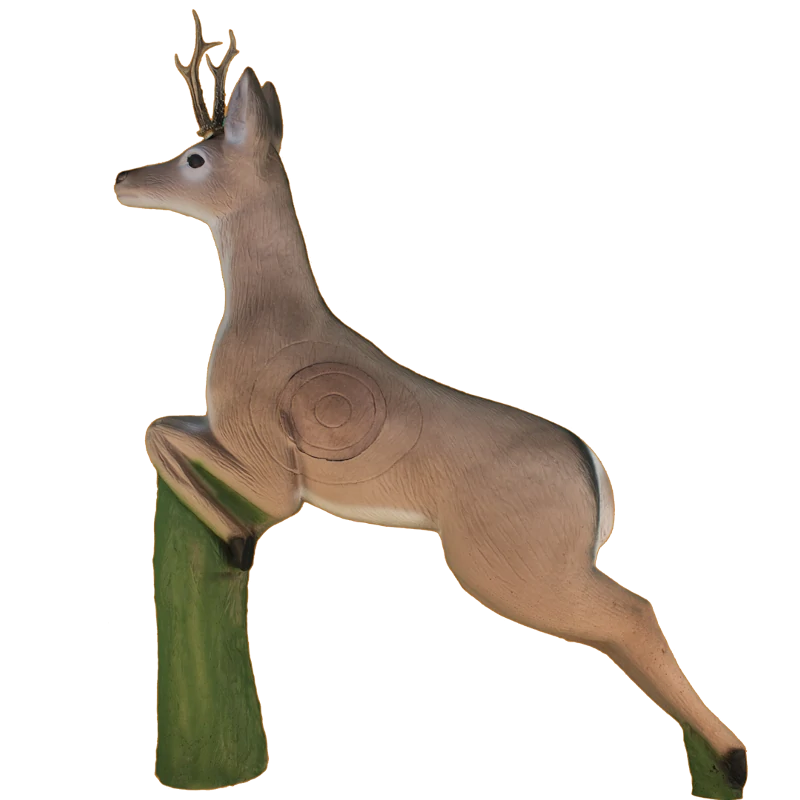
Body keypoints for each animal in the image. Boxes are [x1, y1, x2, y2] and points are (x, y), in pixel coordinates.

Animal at [119, 10, 749, 797]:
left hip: (500, 557)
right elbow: (165, 422)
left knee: (631, 611)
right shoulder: (235, 440)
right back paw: (717, 762)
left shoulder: (275, 471)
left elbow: (157, 431)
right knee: (630, 619)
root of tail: (592, 475)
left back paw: (730, 757)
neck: (266, 318)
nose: (123, 179)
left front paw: (234, 540)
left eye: (197, 160)